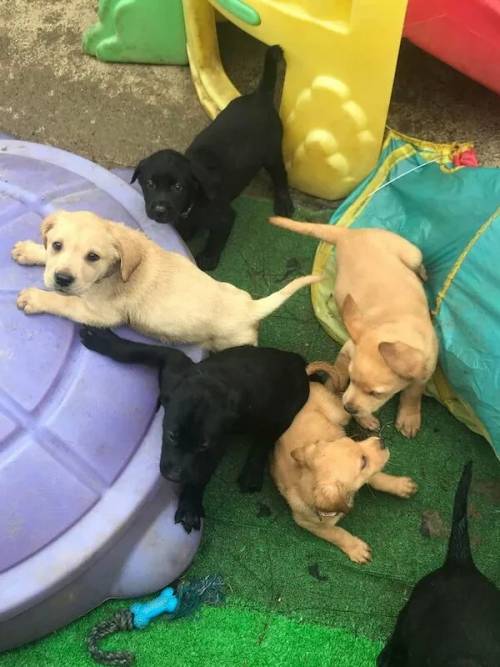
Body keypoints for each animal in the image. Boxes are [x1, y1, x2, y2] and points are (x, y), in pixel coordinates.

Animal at [80, 326, 310, 536]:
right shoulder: (174, 364)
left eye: (203, 446)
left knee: (266, 439)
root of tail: (298, 361)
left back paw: (252, 472)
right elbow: (139, 350)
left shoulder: (216, 446)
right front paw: (104, 341)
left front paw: (189, 505)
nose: (174, 476)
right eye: (172, 435)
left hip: (285, 411)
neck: (211, 384)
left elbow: (200, 474)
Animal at [132, 44, 292, 272]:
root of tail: (259, 97)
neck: (194, 200)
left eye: (178, 187)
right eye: (150, 184)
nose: (160, 210)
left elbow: (216, 238)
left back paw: (284, 203)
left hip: (271, 152)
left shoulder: (225, 216)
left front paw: (208, 257)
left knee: (280, 174)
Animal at [270, 218, 438, 438]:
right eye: (352, 380)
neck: (395, 326)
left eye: (376, 393)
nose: (348, 408)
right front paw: (360, 416)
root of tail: (347, 234)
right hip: (412, 251)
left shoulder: (425, 371)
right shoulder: (347, 349)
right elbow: (340, 374)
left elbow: (413, 394)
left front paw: (409, 418)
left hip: (411, 253)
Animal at [270, 362, 418, 560]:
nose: (382, 442)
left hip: (340, 414)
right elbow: (336, 533)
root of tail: (309, 383)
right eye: (362, 462)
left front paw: (400, 486)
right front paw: (355, 548)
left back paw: (366, 418)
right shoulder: (308, 523)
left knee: (348, 403)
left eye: (351, 440)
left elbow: (377, 478)